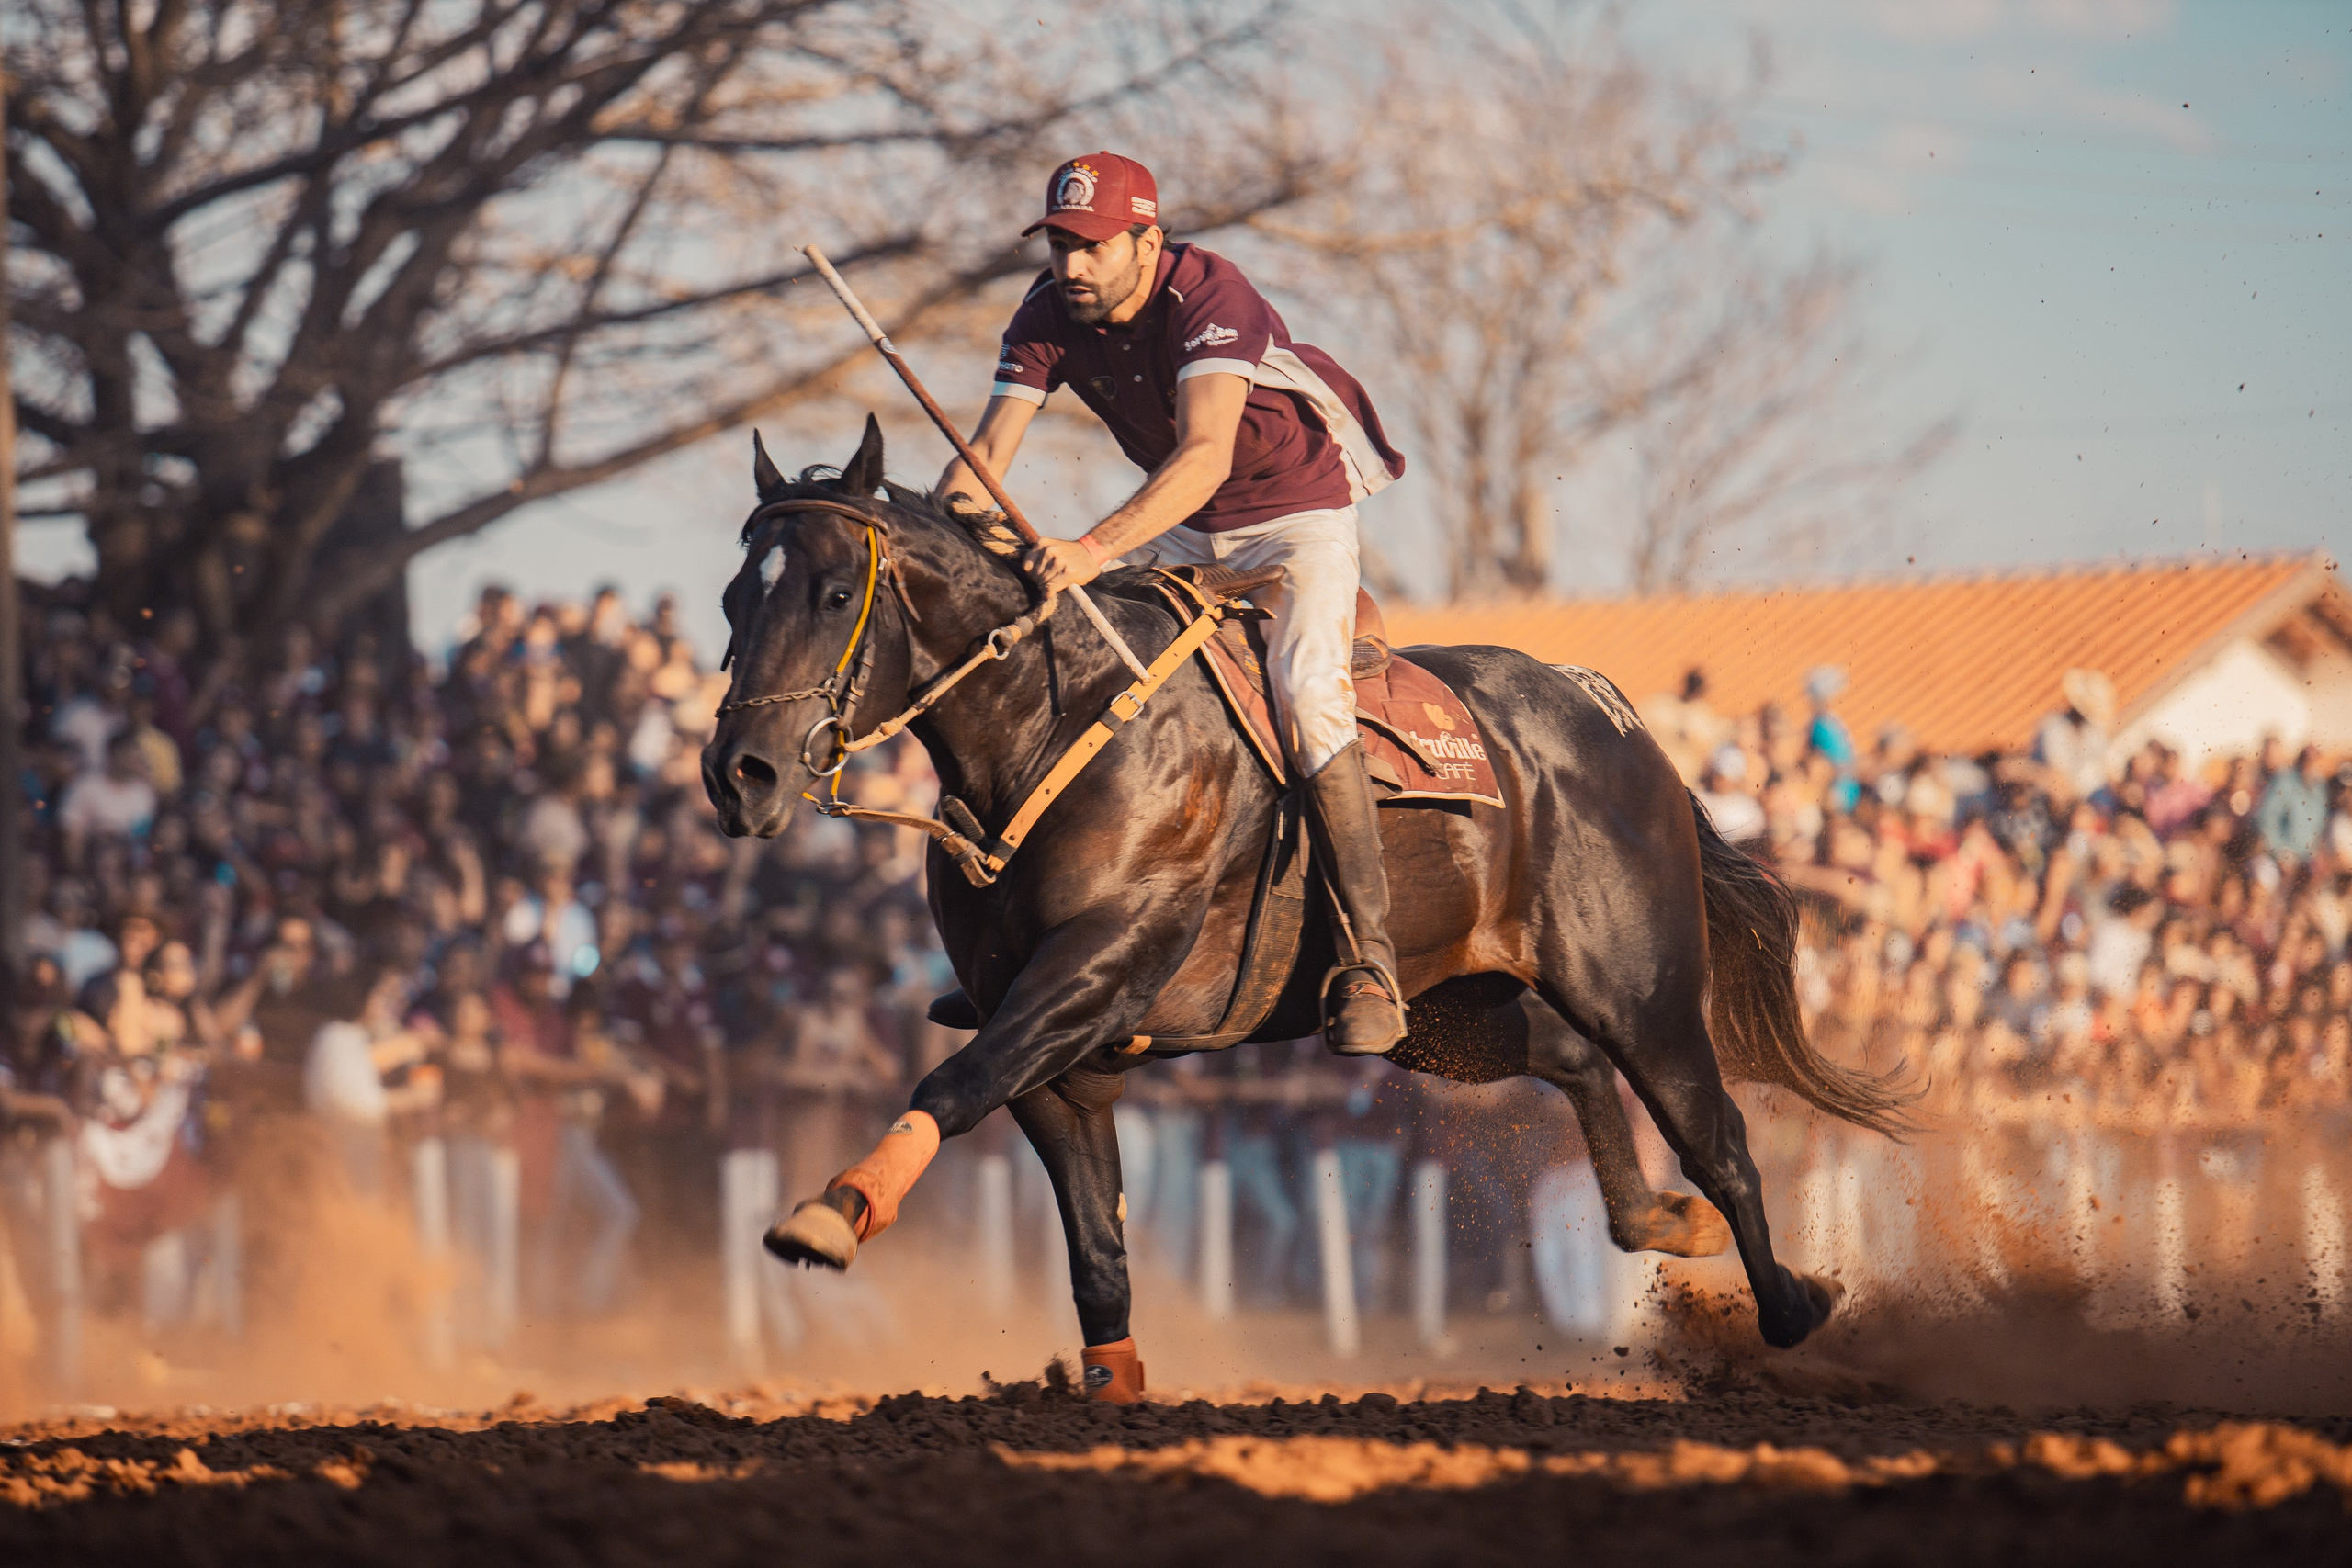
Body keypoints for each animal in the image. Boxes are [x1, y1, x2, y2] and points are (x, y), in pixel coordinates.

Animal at [702, 417, 1906, 1392]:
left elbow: (950, 1082)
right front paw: (1109, 1387)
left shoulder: (1093, 974)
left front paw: (831, 1213)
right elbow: (1096, 1249)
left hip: (1639, 988)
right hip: (1443, 1013)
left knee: (1719, 1139)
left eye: (833, 594)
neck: (1061, 726)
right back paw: (1656, 1219)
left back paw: (1794, 1306)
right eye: (732, 597)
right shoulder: (1053, 1049)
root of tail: (1608, 711)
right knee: (1568, 1058)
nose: (738, 774)